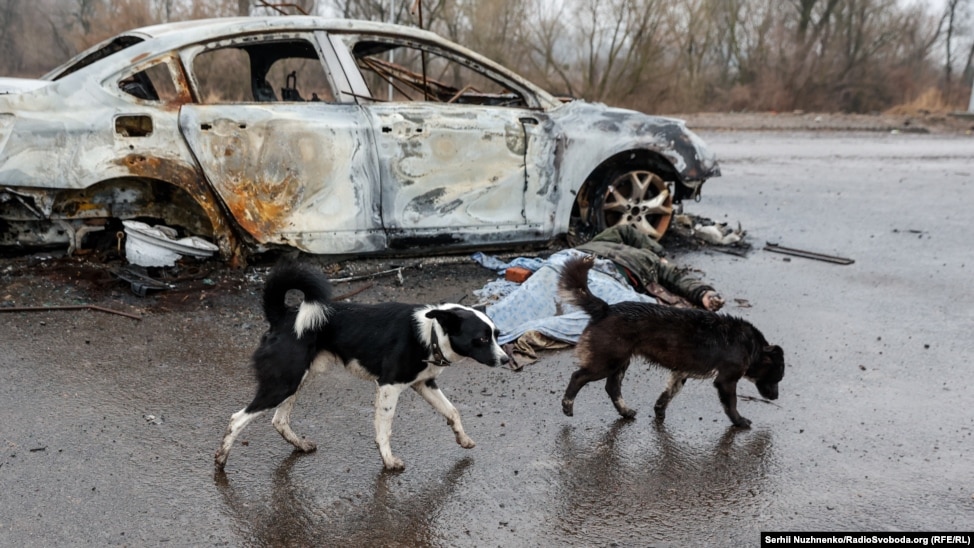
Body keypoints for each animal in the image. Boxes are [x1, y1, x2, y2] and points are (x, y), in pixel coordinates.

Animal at [214, 261, 509, 471]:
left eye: (497, 334)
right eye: (482, 339)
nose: (506, 360)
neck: (430, 333)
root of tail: (282, 315)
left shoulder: (424, 384)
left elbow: (453, 412)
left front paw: (463, 439)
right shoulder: (389, 386)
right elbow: (385, 428)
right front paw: (389, 461)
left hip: (296, 379)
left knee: (279, 419)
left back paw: (300, 445)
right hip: (283, 382)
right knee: (237, 418)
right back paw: (221, 459)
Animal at [558, 255, 784, 428]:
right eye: (776, 378)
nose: (776, 398)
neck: (752, 347)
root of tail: (605, 308)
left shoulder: (680, 373)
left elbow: (667, 396)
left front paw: (659, 413)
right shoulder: (726, 380)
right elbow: (732, 405)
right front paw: (740, 422)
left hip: (621, 361)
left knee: (612, 387)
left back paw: (626, 411)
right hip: (607, 361)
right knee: (578, 377)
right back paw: (567, 405)